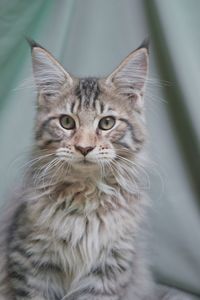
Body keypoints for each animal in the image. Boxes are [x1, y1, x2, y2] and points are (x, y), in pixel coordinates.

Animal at [0, 39, 194, 300]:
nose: (84, 147)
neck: (85, 199)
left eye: (106, 123)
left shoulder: (108, 270)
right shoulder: (31, 264)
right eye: (67, 122)